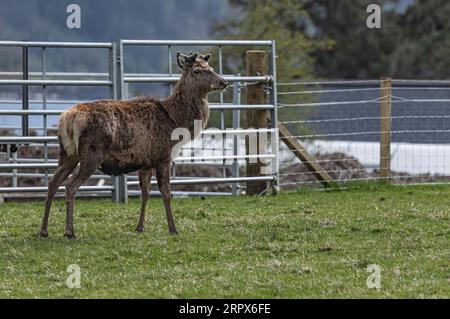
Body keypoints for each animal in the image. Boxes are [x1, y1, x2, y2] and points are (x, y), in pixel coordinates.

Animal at [38, 51, 227, 239]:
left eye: (211, 67)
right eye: (197, 70)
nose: (223, 82)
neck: (176, 120)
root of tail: (68, 118)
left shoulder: (145, 163)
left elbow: (146, 194)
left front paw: (140, 227)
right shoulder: (163, 156)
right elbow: (166, 193)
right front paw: (173, 229)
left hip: (67, 153)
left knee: (53, 182)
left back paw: (44, 230)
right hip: (92, 153)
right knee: (70, 185)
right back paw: (69, 231)